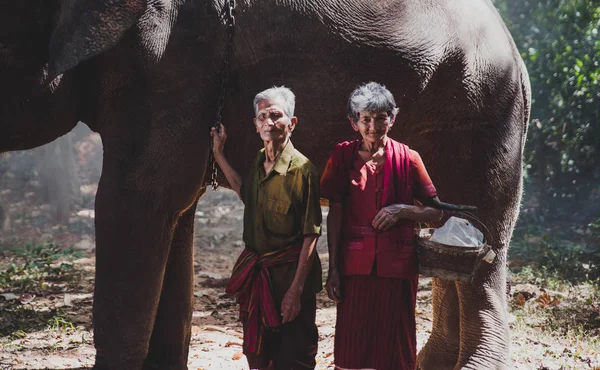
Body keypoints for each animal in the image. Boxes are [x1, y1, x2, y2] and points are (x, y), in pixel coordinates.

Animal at [1, 0, 528, 368]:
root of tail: (518, 57)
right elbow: (176, 210)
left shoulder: (172, 64)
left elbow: (136, 201)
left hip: (486, 110)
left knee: (484, 237)